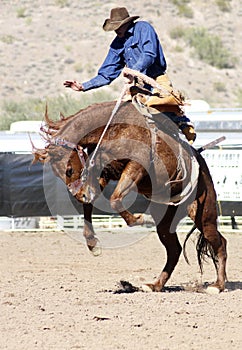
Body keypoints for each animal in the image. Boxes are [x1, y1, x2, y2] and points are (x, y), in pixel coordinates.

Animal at [33, 100, 228, 294]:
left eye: (68, 170)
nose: (79, 194)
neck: (115, 127)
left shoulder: (136, 167)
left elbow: (115, 200)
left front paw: (141, 218)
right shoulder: (105, 172)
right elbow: (92, 204)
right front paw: (92, 242)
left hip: (203, 215)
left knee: (220, 243)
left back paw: (217, 285)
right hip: (166, 221)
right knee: (174, 250)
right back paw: (155, 285)